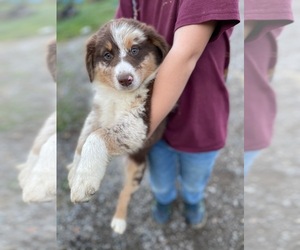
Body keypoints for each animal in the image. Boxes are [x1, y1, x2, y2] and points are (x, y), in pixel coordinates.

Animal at [67, 18, 169, 234]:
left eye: (135, 50)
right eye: (107, 55)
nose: (125, 80)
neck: (117, 96)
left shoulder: (138, 124)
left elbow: (95, 137)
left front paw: (84, 181)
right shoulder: (97, 113)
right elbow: (83, 139)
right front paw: (75, 172)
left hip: (137, 167)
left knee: (125, 191)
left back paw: (119, 221)